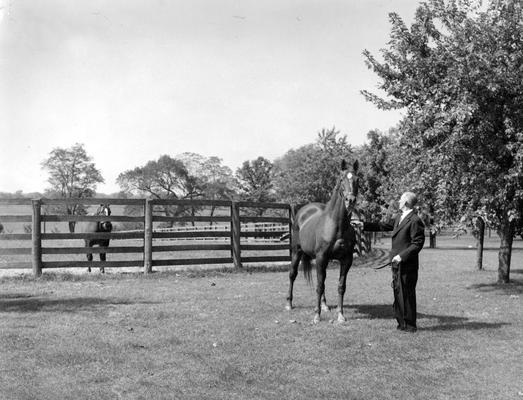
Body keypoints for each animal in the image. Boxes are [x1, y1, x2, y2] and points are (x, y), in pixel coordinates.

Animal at [286, 158, 360, 324]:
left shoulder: (346, 259)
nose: (350, 200)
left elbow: (340, 286)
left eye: (357, 180)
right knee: (293, 274)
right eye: (341, 179)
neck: (337, 225)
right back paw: (289, 304)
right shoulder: (321, 257)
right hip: (296, 252)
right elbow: (319, 286)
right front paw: (317, 316)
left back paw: (325, 305)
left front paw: (340, 315)